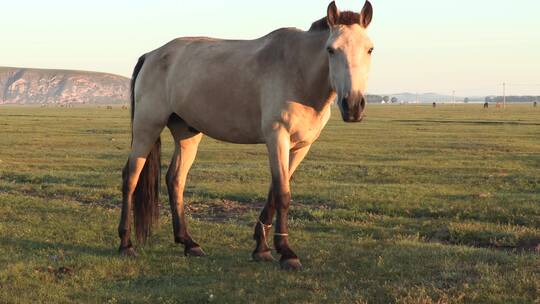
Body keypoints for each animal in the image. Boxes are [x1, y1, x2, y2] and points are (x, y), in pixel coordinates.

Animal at [116, 0, 374, 270]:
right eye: (331, 50)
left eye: (369, 49)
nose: (353, 106)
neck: (299, 73)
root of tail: (151, 55)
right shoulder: (277, 138)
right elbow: (282, 194)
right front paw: (287, 252)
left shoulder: (300, 147)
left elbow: (274, 192)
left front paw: (261, 247)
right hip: (147, 127)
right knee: (130, 178)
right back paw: (126, 244)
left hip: (187, 134)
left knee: (175, 180)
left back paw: (189, 243)